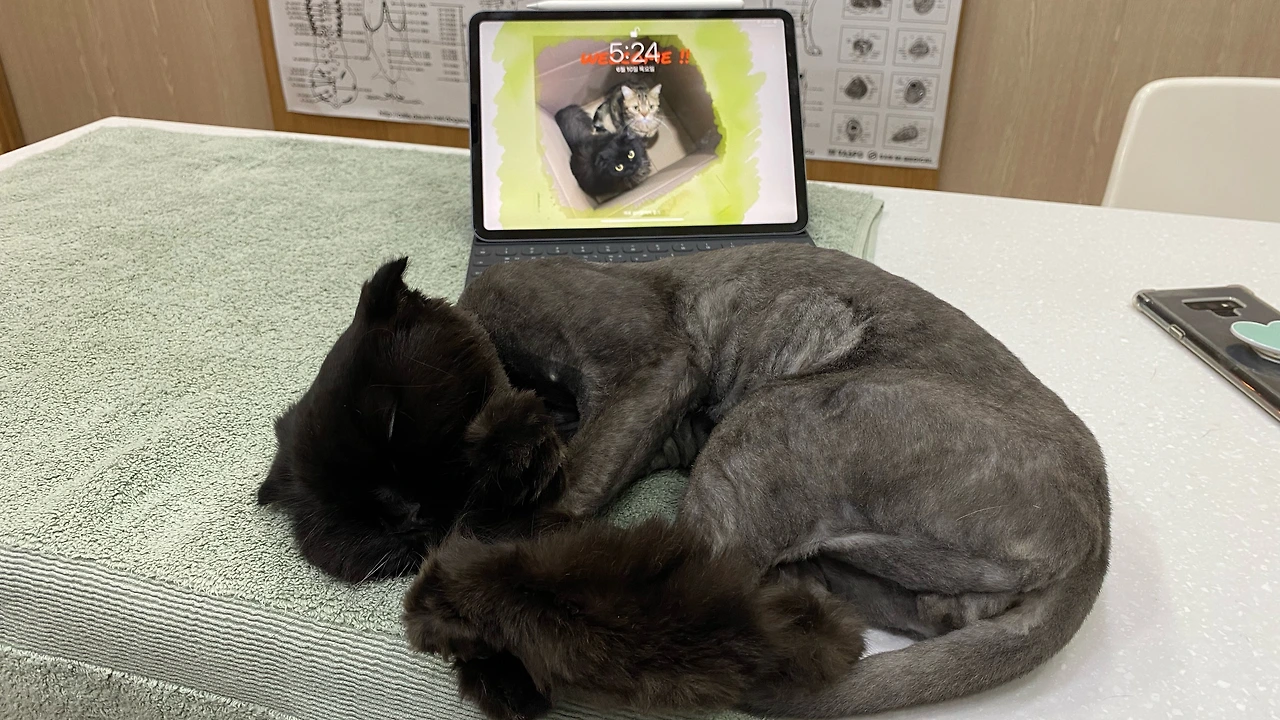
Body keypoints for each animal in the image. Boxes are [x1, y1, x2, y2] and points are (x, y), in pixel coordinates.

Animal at [265, 245, 1110, 719]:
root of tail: (1098, 534)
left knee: (677, 623)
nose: (410, 512)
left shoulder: (650, 369)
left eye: (391, 422)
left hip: (768, 421)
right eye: (364, 535)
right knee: (895, 614)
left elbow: (550, 503)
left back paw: (470, 619)